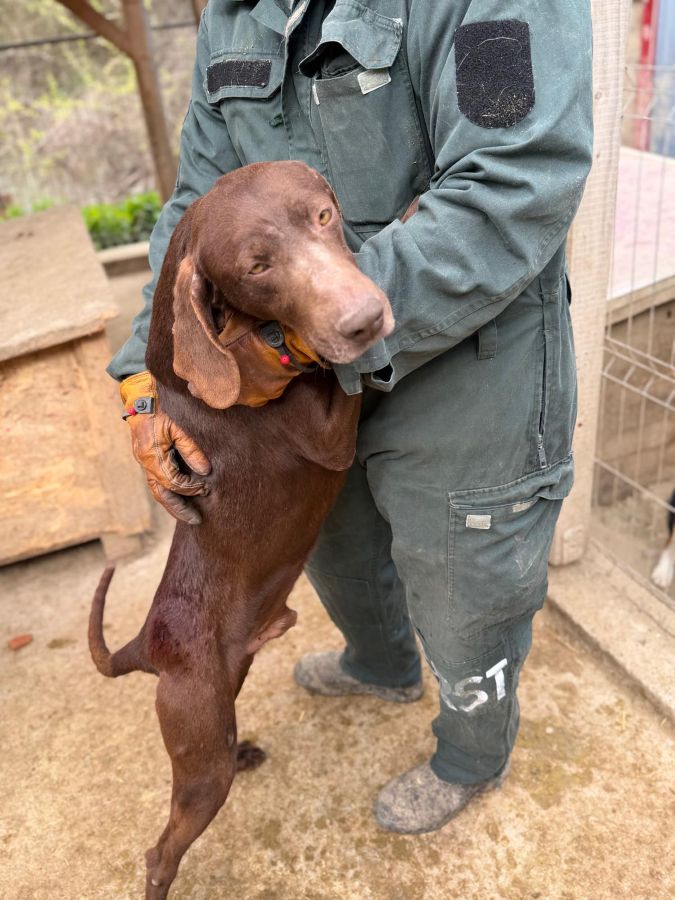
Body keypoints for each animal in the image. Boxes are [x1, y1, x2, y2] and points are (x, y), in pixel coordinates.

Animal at [89, 161, 394, 899]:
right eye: (258, 267)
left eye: (322, 217)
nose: (365, 321)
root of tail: (145, 644)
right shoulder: (328, 433)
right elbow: (337, 386)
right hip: (201, 754)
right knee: (160, 852)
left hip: (226, 697)